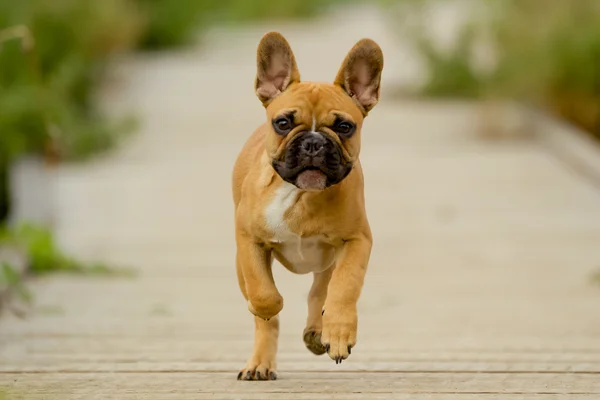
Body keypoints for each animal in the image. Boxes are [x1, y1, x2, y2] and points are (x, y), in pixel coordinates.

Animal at [232, 32, 382, 382]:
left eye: (344, 127)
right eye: (283, 123)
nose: (313, 142)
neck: (301, 195)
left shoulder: (357, 241)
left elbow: (344, 287)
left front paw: (337, 331)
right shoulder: (249, 240)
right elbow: (264, 295)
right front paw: (266, 308)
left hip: (328, 258)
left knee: (320, 290)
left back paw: (318, 331)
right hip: (240, 264)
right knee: (265, 309)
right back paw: (260, 362)